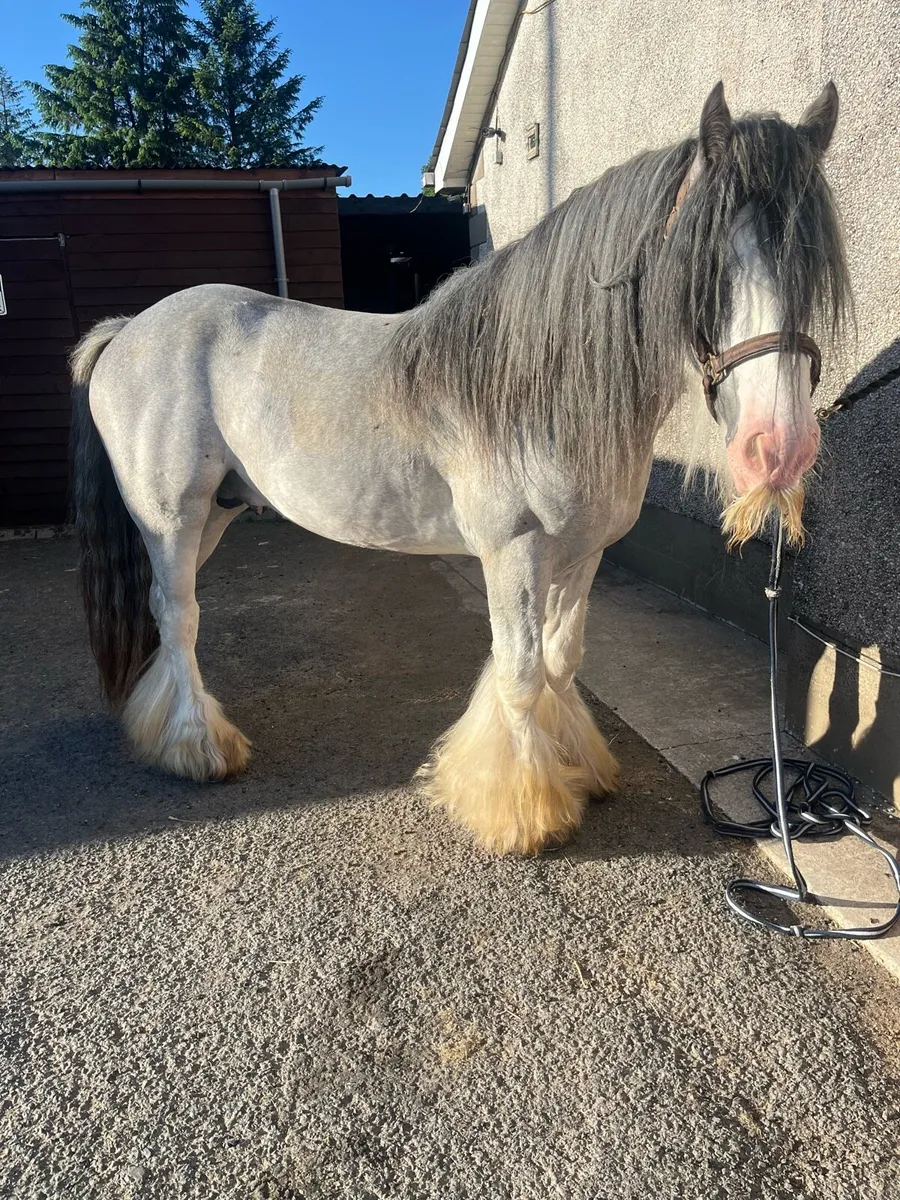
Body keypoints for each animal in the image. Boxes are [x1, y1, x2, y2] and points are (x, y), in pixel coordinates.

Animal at [70, 82, 850, 856]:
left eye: (814, 262)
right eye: (708, 261)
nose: (779, 445)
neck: (541, 382)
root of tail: (127, 330)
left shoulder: (583, 554)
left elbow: (562, 660)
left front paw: (578, 767)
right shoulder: (514, 553)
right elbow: (521, 673)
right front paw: (523, 810)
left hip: (217, 514)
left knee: (166, 613)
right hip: (172, 517)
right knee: (180, 616)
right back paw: (198, 748)